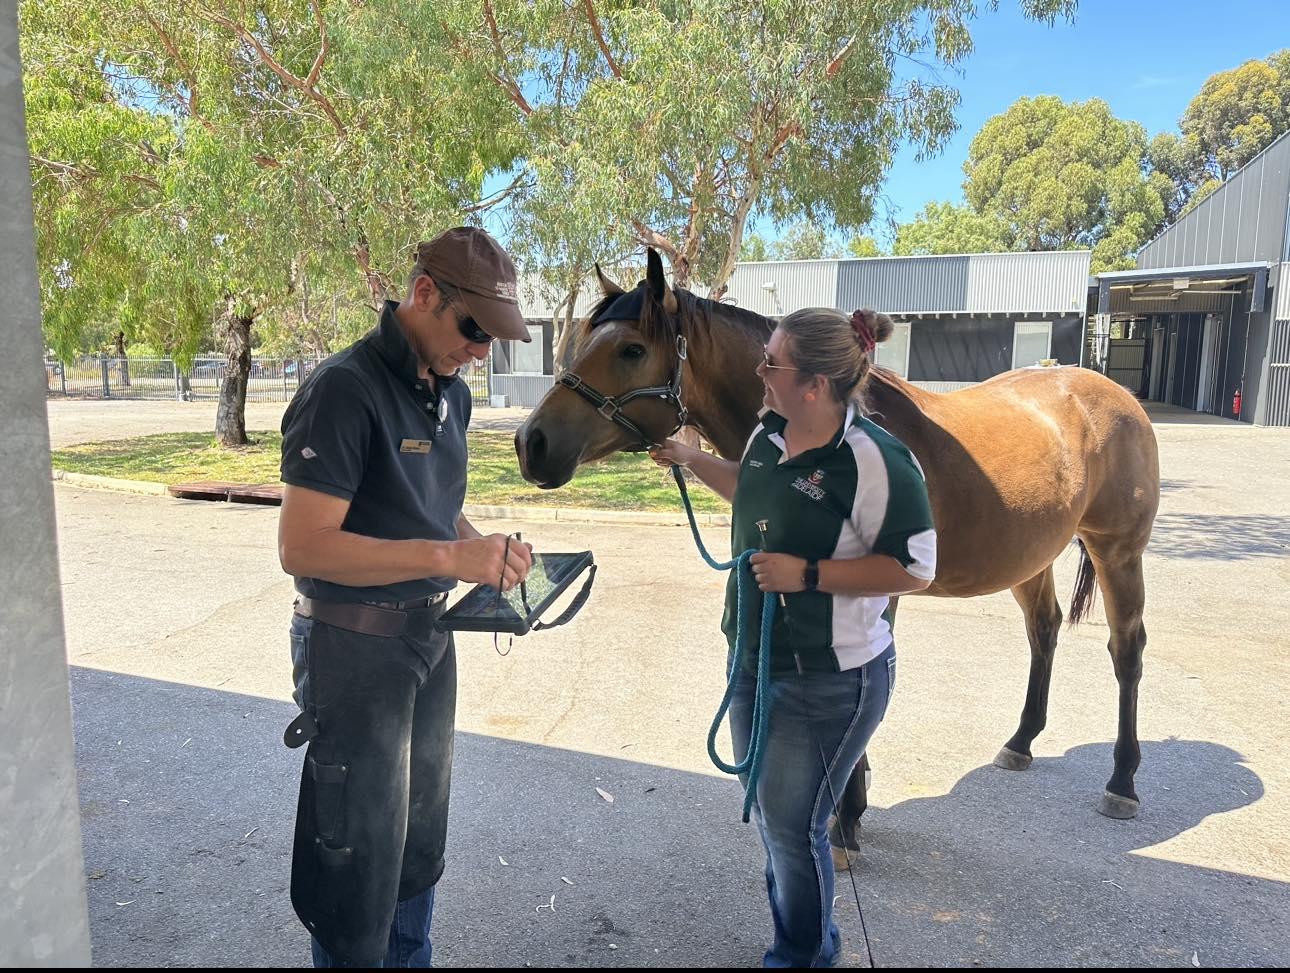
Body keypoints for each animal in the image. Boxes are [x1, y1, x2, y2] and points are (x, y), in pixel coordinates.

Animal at [510, 246, 1161, 851]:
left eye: (630, 350)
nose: (530, 443)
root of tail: (1109, 392)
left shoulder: (876, 589)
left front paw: (845, 815)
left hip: (1118, 551)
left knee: (1127, 649)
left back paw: (1124, 783)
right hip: (1030, 557)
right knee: (1044, 630)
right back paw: (1021, 741)